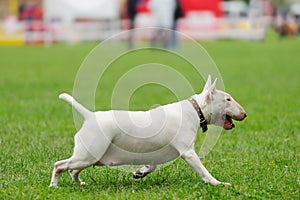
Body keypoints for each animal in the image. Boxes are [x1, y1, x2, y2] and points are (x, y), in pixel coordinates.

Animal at [49, 75, 246, 188]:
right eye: (228, 99)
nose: (244, 114)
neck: (195, 109)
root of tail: (89, 116)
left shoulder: (156, 152)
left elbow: (152, 165)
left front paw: (140, 172)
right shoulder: (188, 152)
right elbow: (204, 171)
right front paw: (218, 183)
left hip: (90, 157)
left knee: (73, 171)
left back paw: (79, 184)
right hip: (88, 155)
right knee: (60, 165)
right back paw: (54, 186)